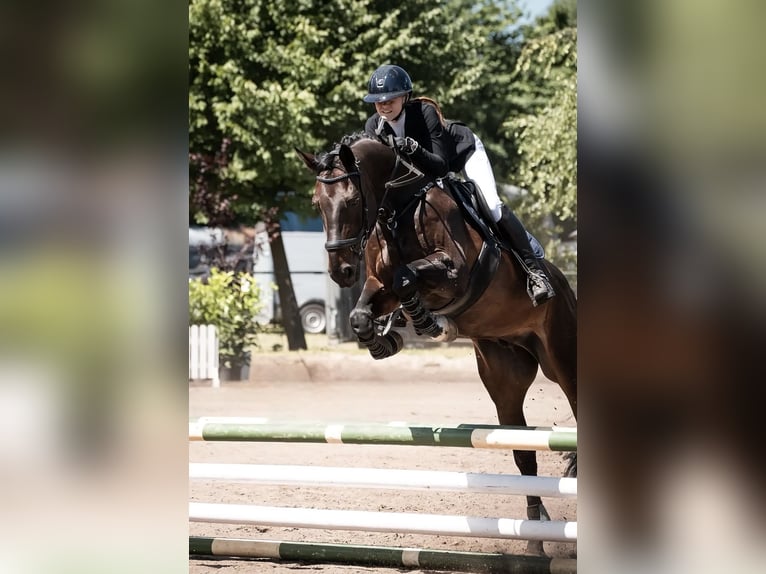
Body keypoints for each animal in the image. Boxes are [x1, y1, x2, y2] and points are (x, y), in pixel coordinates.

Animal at [296, 133, 577, 555]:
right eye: (317, 203)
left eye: (351, 200)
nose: (341, 271)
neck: (396, 209)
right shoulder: (377, 284)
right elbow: (364, 311)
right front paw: (386, 337)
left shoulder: (454, 270)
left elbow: (406, 277)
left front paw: (425, 320)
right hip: (504, 377)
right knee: (524, 456)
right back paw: (535, 539)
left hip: (564, 360)